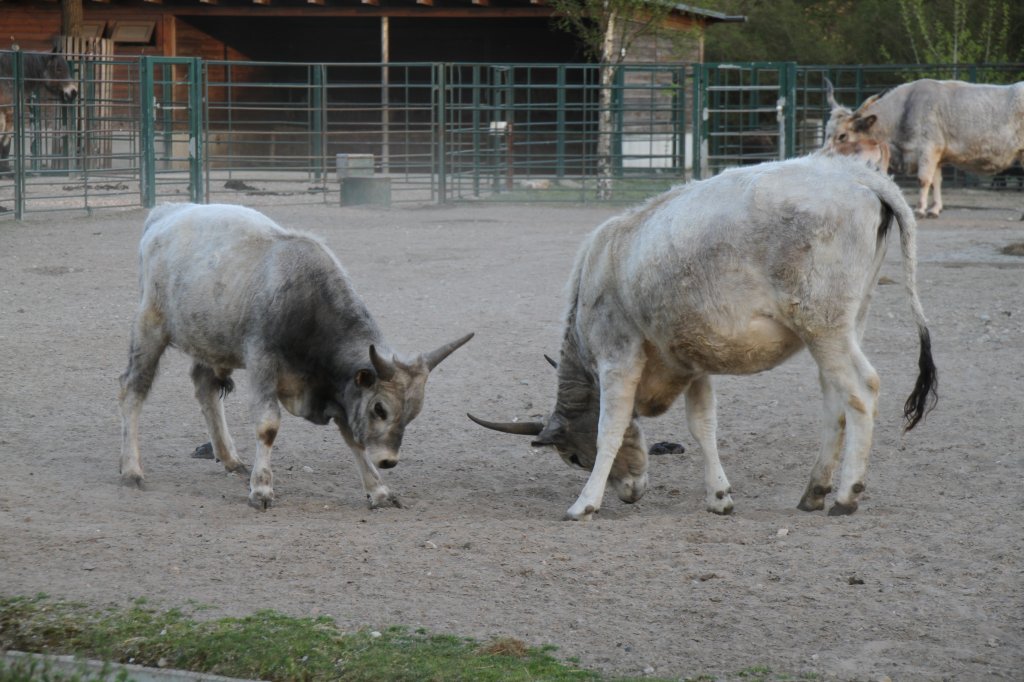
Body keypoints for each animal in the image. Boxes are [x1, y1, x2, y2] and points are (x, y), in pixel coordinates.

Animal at [118, 204, 471, 507]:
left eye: (412, 413)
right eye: (380, 408)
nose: (388, 460)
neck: (306, 302)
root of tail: (166, 213)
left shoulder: (339, 390)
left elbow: (352, 438)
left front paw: (379, 490)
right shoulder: (261, 361)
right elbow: (268, 425)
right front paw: (262, 489)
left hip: (211, 340)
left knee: (205, 387)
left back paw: (231, 459)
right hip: (150, 326)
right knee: (132, 391)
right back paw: (131, 470)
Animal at [823, 77, 1024, 216]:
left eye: (842, 136)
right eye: (827, 131)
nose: (822, 155)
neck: (905, 108)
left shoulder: (928, 149)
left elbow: (924, 179)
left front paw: (920, 209)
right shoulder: (937, 155)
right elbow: (936, 181)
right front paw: (935, 209)